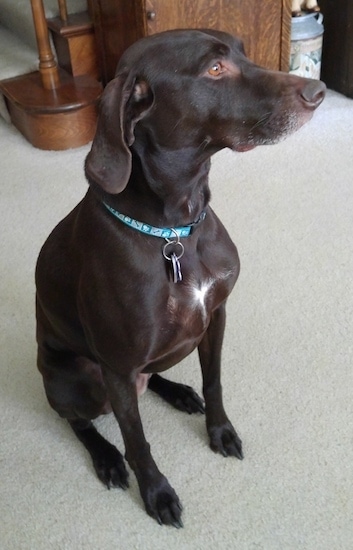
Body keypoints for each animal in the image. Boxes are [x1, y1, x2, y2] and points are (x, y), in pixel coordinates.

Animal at [35, 29, 324, 528]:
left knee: (154, 378)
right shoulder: (116, 364)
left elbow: (215, 382)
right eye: (214, 69)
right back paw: (106, 458)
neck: (175, 230)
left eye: (243, 52)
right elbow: (137, 440)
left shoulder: (216, 315)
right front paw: (156, 493)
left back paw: (179, 393)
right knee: (80, 421)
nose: (320, 91)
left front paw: (219, 430)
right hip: (79, 379)